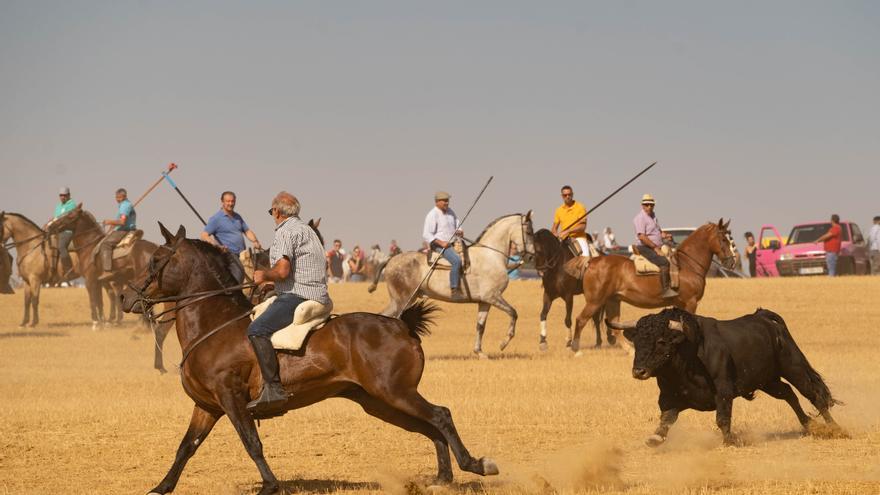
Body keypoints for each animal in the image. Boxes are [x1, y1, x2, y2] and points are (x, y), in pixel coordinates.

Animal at [119, 223, 498, 494]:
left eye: (155, 261)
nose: (125, 296)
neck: (212, 325)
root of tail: (400, 324)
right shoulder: (208, 405)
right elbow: (186, 447)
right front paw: (161, 487)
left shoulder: (231, 399)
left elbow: (251, 442)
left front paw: (271, 486)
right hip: (379, 401)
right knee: (429, 425)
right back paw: (442, 478)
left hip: (394, 392)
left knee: (440, 415)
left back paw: (476, 465)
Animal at [366, 211, 532, 358]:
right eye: (529, 231)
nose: (530, 256)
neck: (491, 256)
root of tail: (391, 259)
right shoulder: (493, 297)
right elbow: (513, 312)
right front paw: (504, 343)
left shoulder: (485, 301)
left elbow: (480, 326)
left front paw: (480, 352)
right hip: (402, 300)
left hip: (403, 300)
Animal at [572, 219, 736, 354]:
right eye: (723, 239)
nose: (731, 262)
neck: (688, 264)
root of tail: (592, 262)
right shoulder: (691, 302)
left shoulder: (680, 304)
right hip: (595, 301)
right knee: (581, 320)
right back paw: (576, 350)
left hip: (613, 300)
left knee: (615, 326)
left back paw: (631, 350)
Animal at [604, 310, 844, 446]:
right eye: (637, 341)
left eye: (661, 341)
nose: (639, 371)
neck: (689, 353)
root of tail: (763, 317)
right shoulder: (669, 396)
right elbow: (666, 418)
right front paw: (655, 438)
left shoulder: (723, 391)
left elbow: (722, 417)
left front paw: (730, 440)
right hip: (768, 380)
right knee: (788, 394)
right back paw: (808, 425)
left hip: (793, 366)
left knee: (814, 394)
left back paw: (835, 428)